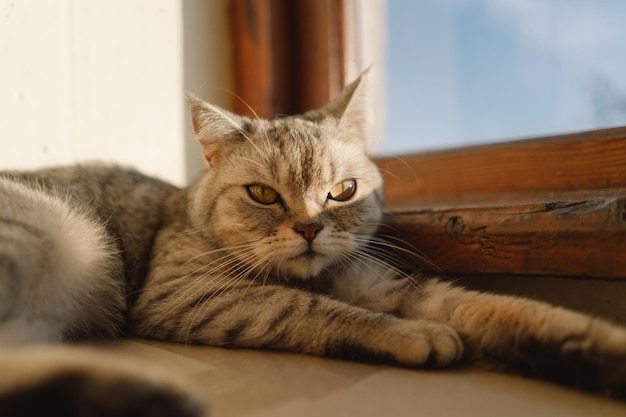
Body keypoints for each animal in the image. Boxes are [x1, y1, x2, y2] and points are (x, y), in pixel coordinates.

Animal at [1, 73, 624, 414]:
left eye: (342, 191)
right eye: (262, 194)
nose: (309, 228)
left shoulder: (391, 285)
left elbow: (508, 313)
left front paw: (597, 351)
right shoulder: (188, 294)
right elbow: (311, 309)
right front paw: (414, 335)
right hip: (54, 235)